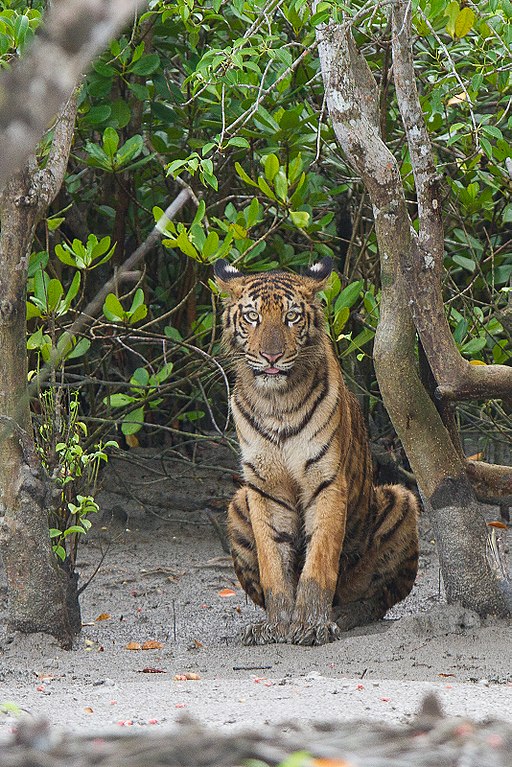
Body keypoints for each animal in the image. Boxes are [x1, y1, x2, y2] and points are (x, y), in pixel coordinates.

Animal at [214, 260, 418, 648]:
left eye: (291, 317)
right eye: (252, 316)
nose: (272, 356)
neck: (276, 400)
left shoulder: (327, 482)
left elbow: (319, 560)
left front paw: (312, 625)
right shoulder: (264, 488)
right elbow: (273, 563)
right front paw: (276, 625)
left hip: (400, 499)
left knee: (380, 598)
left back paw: (346, 614)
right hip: (237, 503)